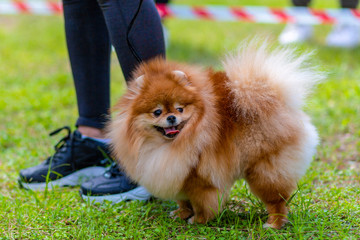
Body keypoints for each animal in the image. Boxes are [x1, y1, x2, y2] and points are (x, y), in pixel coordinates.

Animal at [106, 41, 320, 229]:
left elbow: (201, 203)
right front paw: (181, 214)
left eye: (180, 109)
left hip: (264, 171)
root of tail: (276, 98)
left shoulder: (200, 179)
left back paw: (274, 223)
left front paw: (199, 220)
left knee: (277, 200)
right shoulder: (176, 173)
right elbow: (183, 200)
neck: (167, 145)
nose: (172, 117)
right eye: (157, 112)